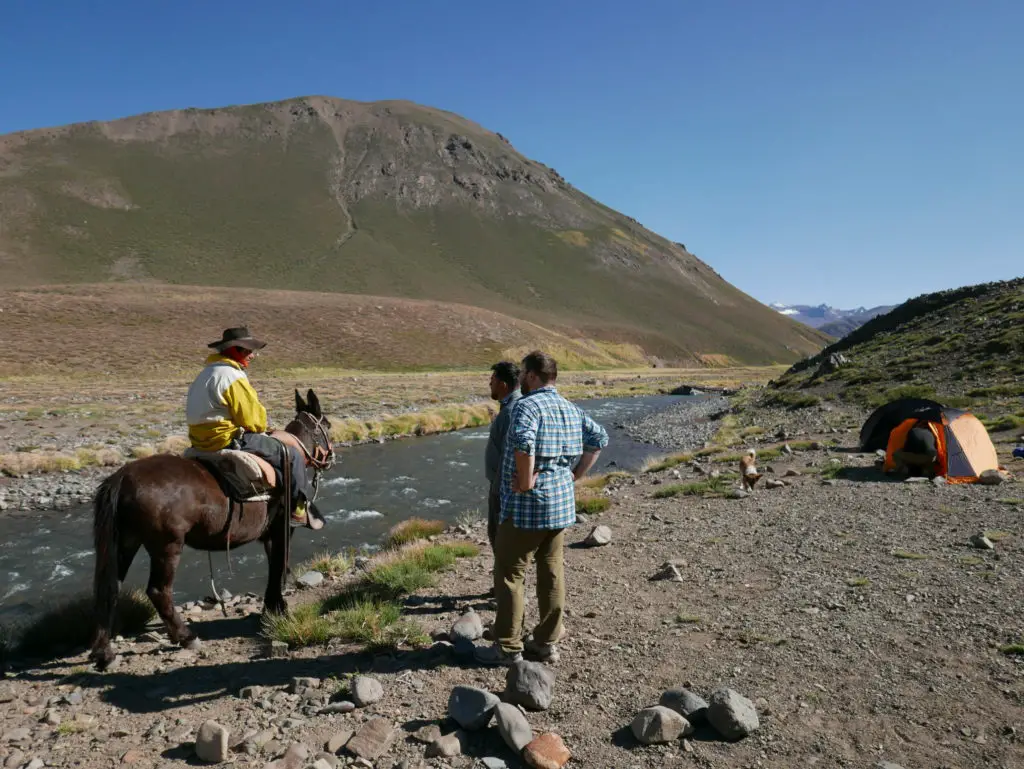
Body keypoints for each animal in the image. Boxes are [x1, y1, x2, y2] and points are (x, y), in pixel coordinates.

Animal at [89, 387, 333, 671]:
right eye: (327, 425)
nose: (331, 457)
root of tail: (121, 478)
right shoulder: (282, 530)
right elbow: (278, 566)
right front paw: (277, 609)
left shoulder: (270, 536)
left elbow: (274, 566)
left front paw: (272, 608)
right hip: (167, 546)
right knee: (158, 591)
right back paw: (186, 637)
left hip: (126, 542)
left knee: (109, 588)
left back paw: (104, 654)